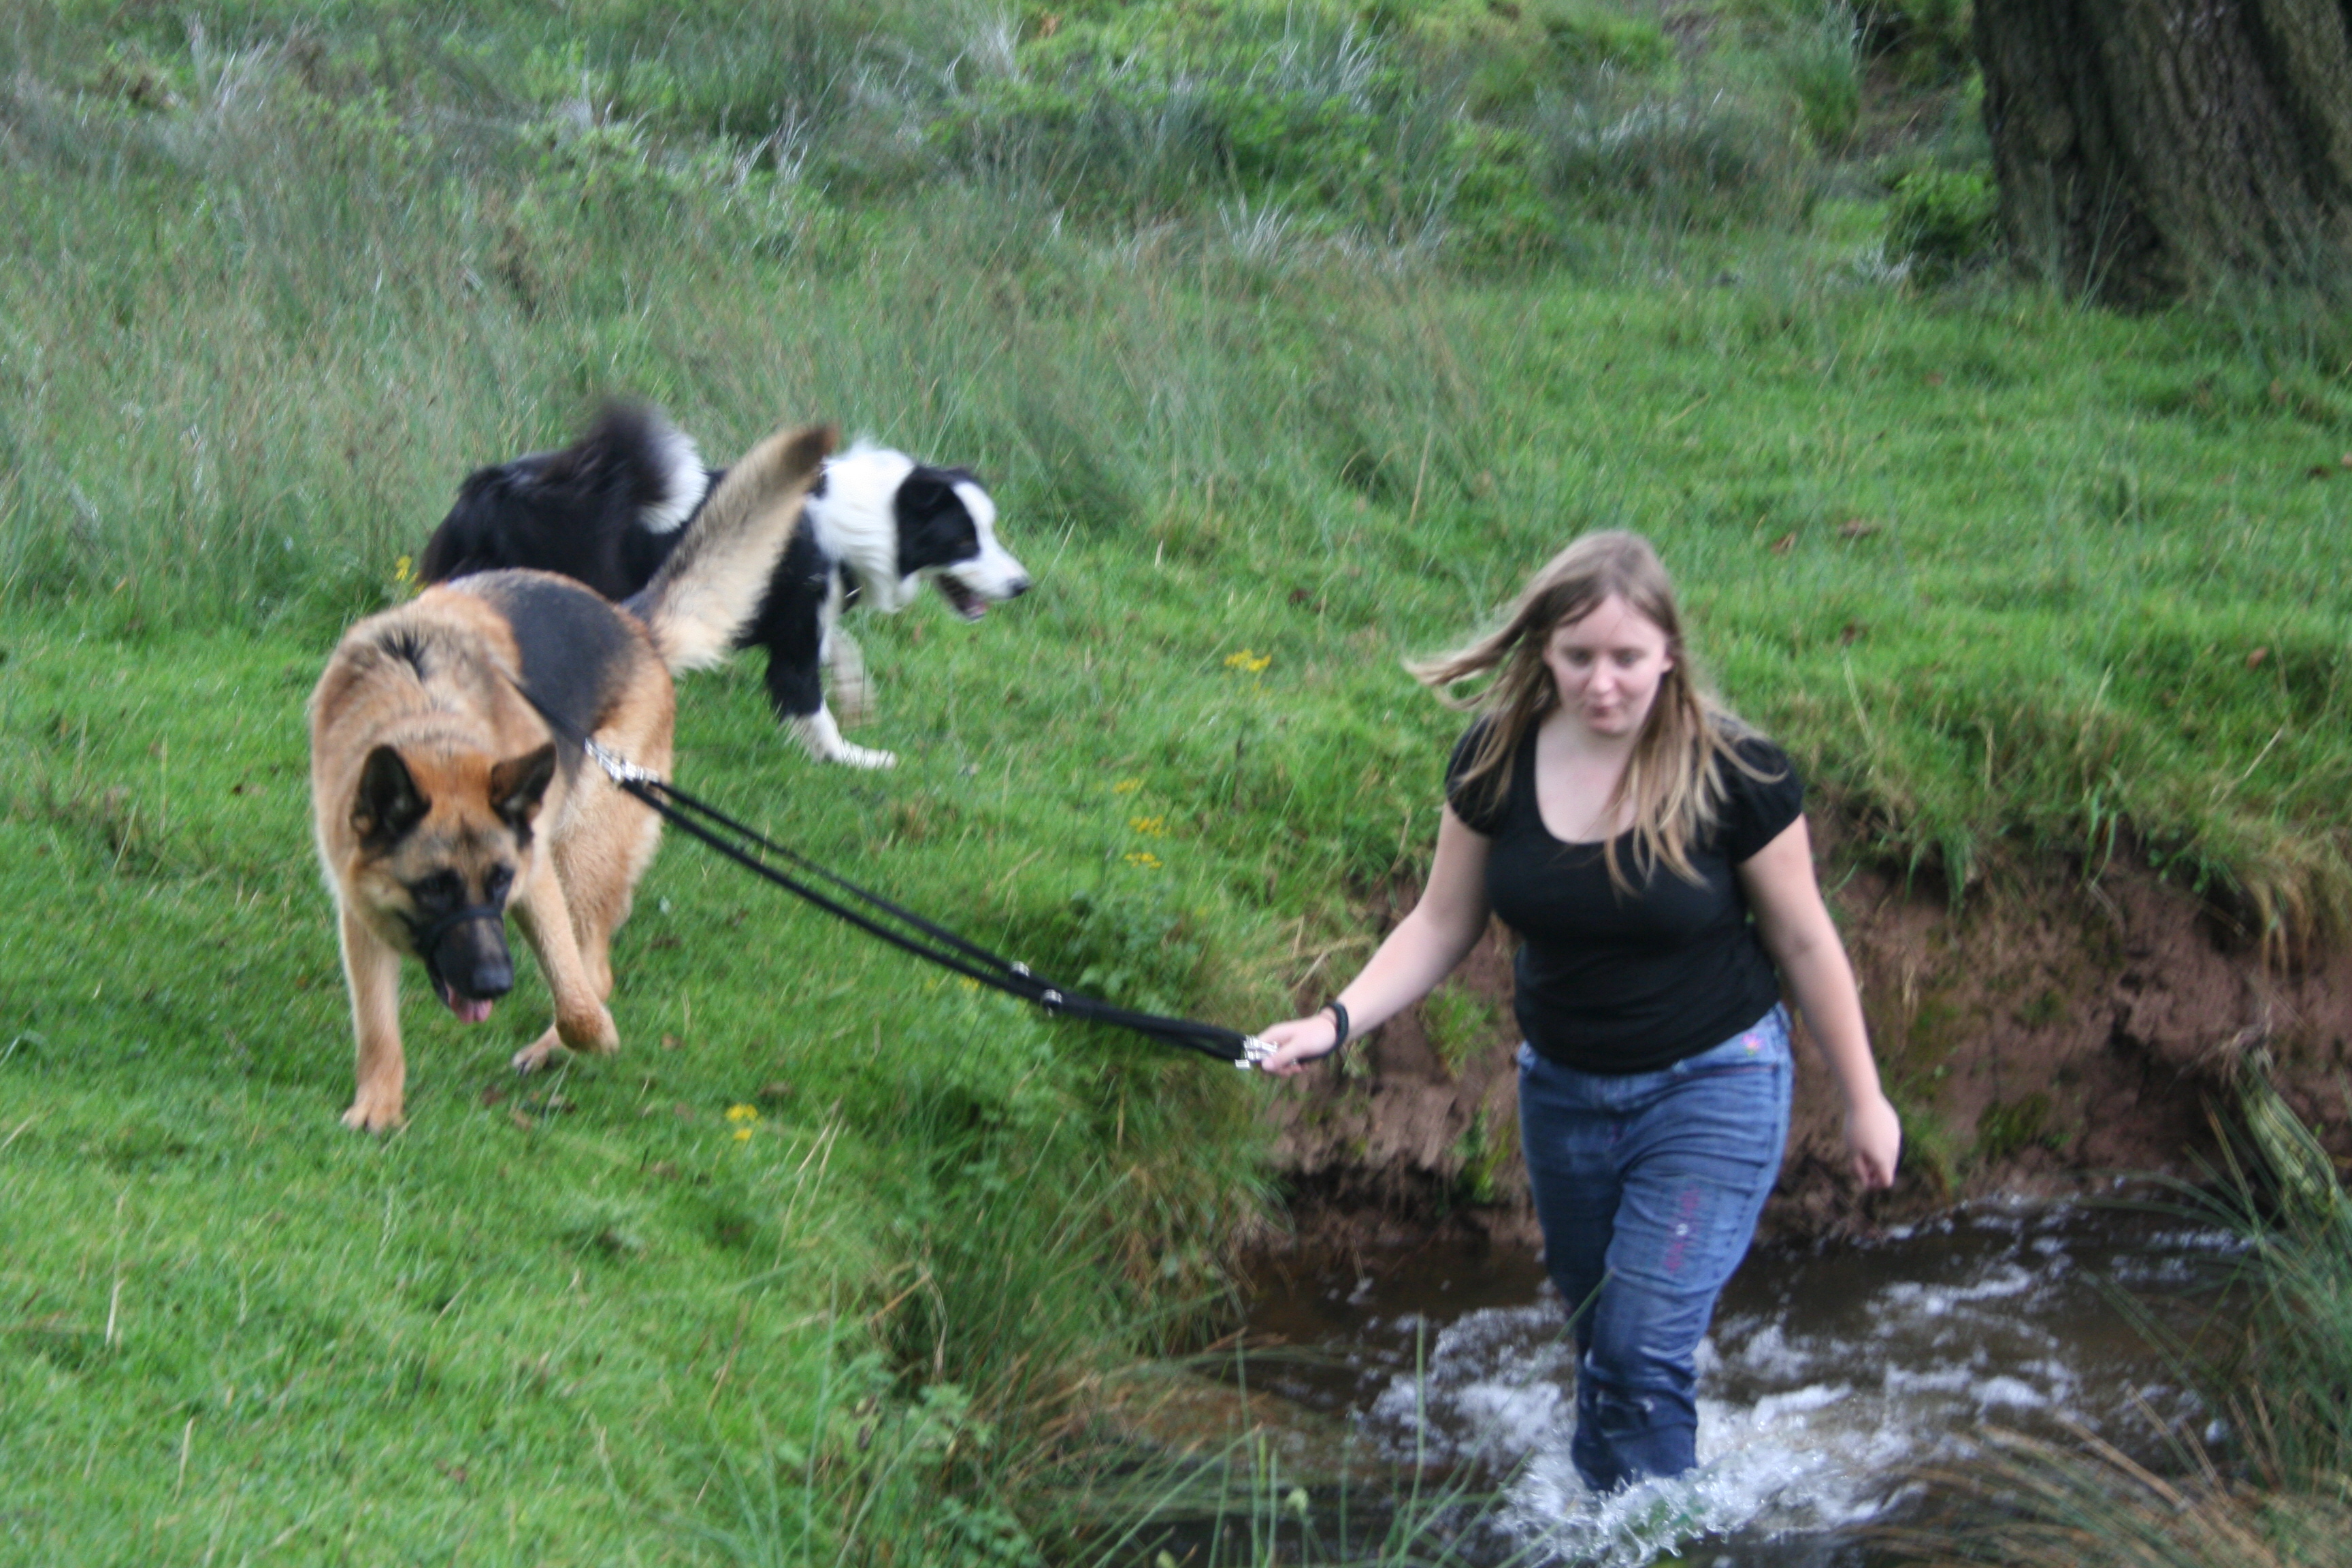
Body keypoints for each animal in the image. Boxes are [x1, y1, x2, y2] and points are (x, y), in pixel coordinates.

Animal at [308, 421, 832, 1128]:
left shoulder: (535, 879)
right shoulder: (359, 905)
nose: (495, 984)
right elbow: (376, 1025)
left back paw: (555, 1043)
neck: (427, 720)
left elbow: (577, 996)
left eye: (498, 883)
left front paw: (590, 1036)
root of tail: (632, 621)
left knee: (594, 969)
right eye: (436, 889)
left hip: (580, 844)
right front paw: (378, 1105)